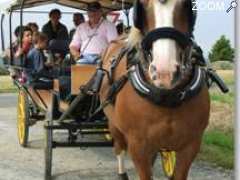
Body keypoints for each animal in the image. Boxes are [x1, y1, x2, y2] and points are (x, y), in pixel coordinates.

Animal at [98, 0, 209, 180]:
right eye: (142, 5)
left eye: (186, 4)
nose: (165, 72)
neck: (166, 97)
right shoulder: (138, 146)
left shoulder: (191, 145)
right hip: (113, 123)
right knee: (119, 147)